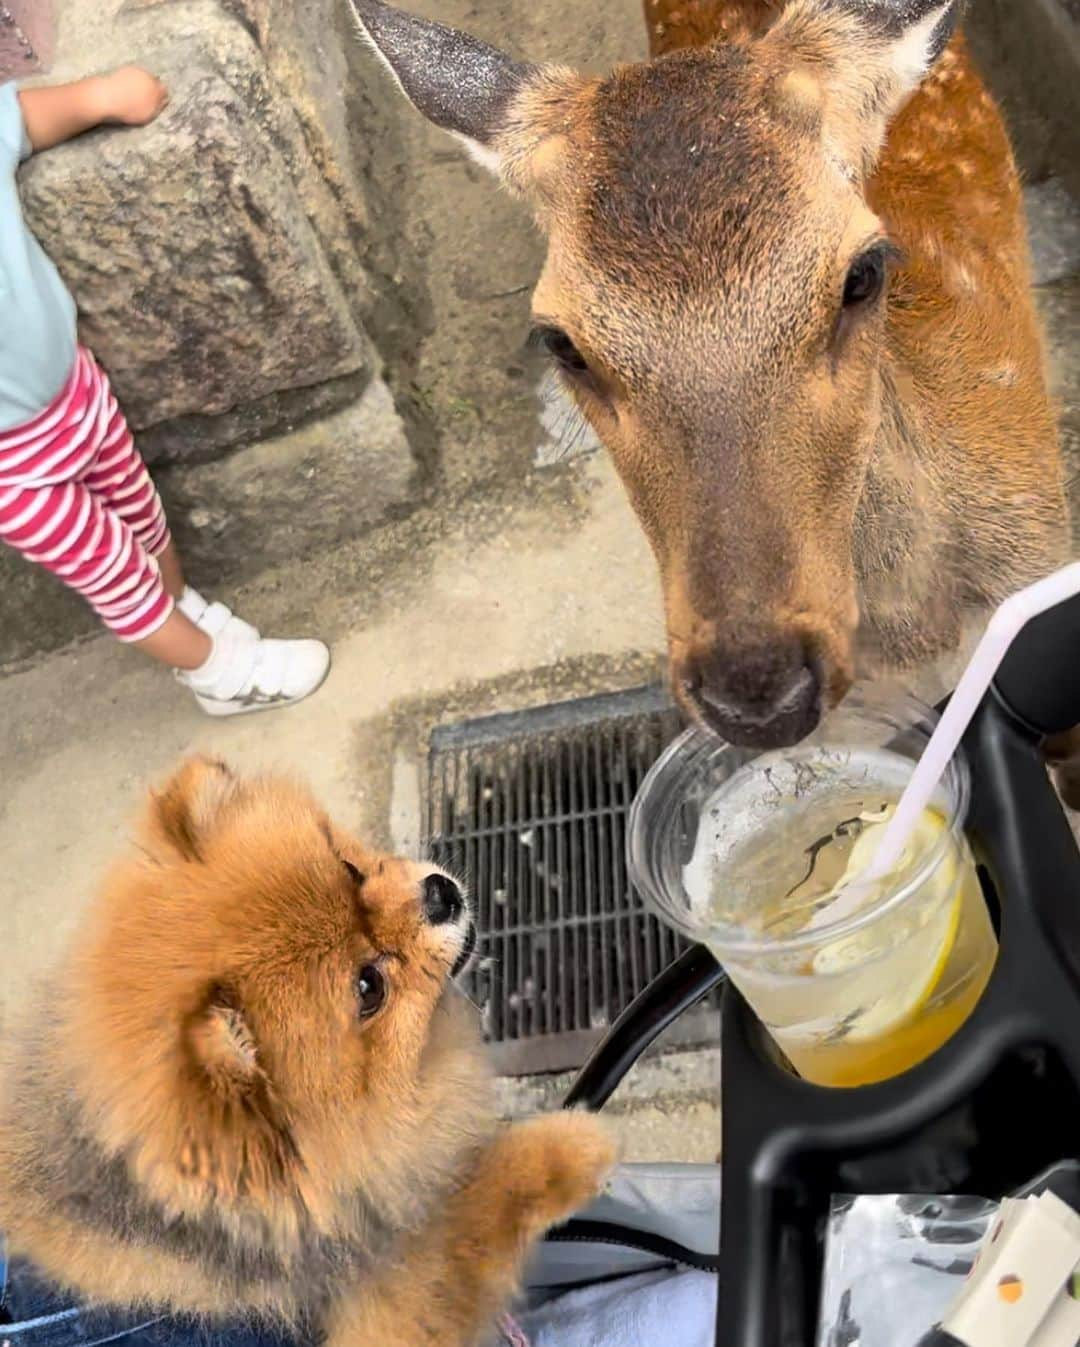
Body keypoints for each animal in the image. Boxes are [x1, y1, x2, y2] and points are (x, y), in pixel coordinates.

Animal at [0, 759, 611, 1347]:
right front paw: (570, 1147)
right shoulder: (383, 1313)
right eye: (368, 987)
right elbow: (469, 1218)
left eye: (350, 868)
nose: (440, 893)